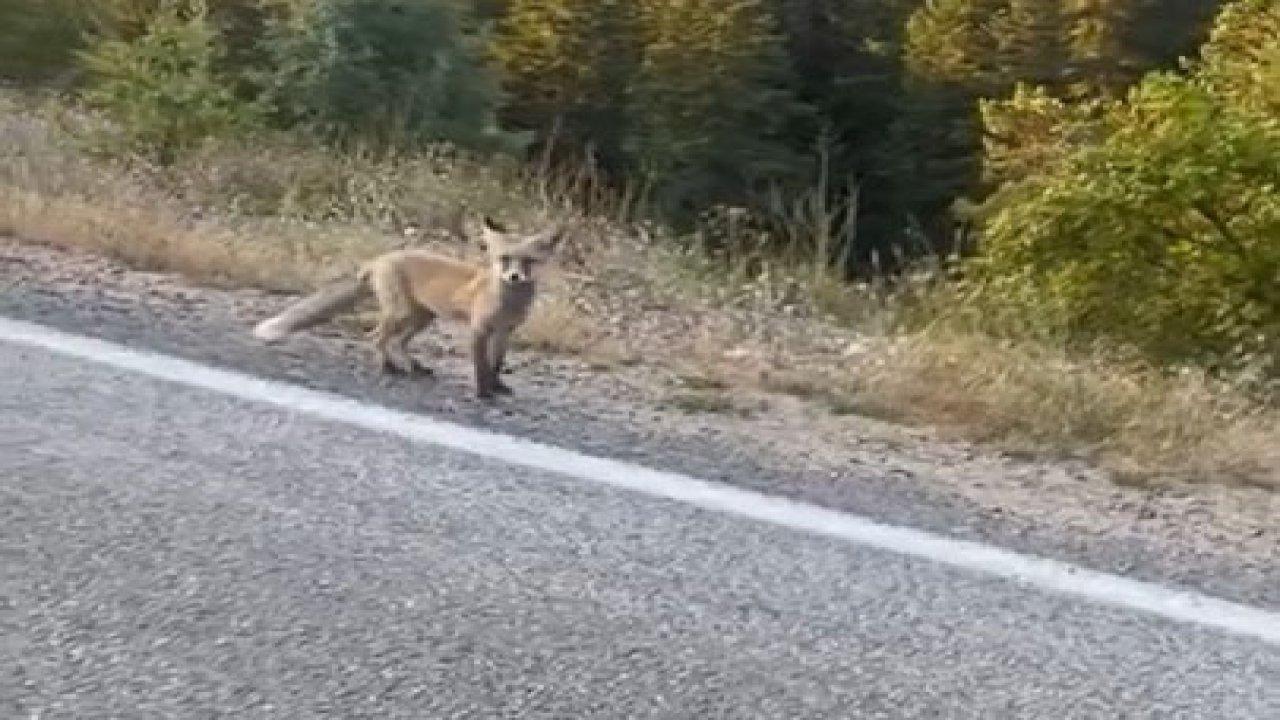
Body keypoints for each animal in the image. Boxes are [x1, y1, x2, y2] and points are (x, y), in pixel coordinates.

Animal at [252, 217, 563, 397]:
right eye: (504, 259)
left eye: (529, 262)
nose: (514, 277)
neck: (507, 302)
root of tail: (378, 259)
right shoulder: (479, 330)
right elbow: (480, 367)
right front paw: (483, 394)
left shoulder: (505, 332)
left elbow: (496, 365)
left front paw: (498, 388)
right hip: (402, 314)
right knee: (376, 337)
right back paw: (388, 368)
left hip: (422, 318)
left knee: (398, 342)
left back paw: (414, 368)